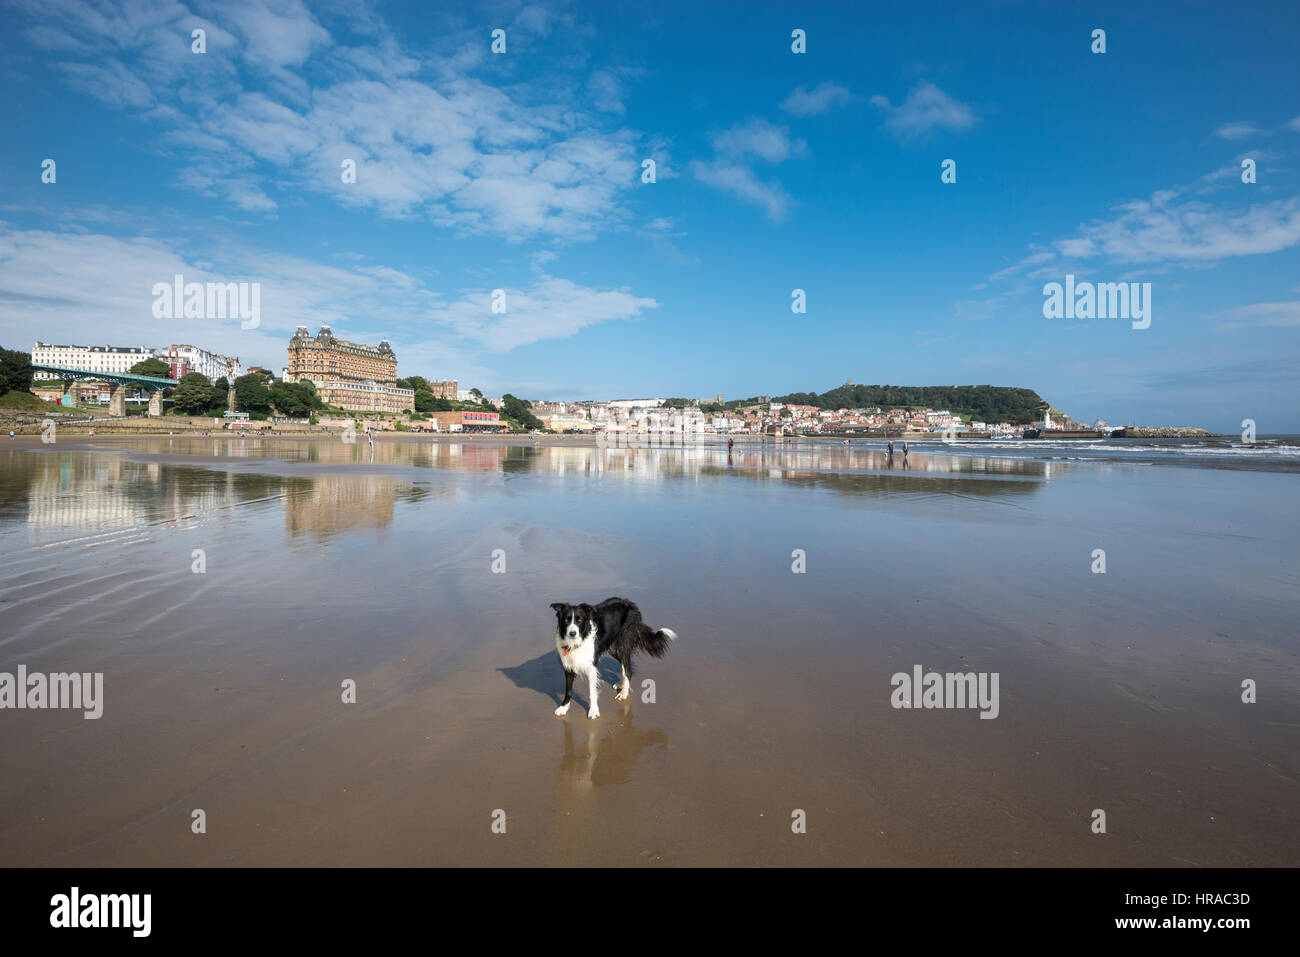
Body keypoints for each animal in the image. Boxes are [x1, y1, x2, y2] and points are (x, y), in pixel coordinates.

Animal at [546, 598, 676, 717]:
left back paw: (624, 693)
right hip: (614, 648)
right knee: (624, 666)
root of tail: (631, 603)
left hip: (624, 643)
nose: (572, 633)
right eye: (566, 620)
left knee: (628, 669)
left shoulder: (591, 667)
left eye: (579, 620)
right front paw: (563, 707)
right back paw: (621, 684)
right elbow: (568, 690)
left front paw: (593, 711)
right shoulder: (568, 666)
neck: (577, 642)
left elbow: (592, 692)